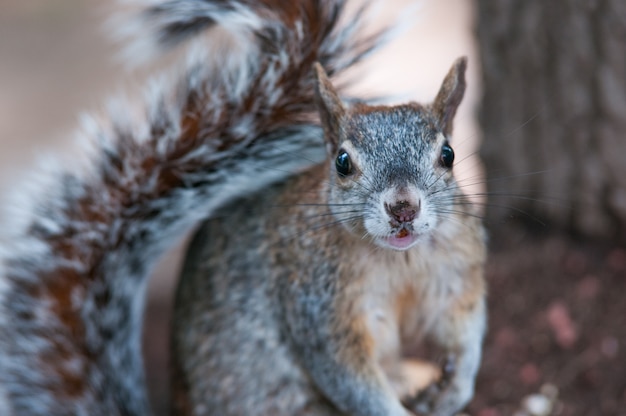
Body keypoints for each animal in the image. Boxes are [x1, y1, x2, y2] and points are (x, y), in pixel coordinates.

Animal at [0, 0, 488, 416]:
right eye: (342, 162)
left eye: (448, 155)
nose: (403, 208)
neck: (399, 261)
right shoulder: (315, 305)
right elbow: (347, 377)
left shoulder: (457, 270)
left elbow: (466, 331)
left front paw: (457, 385)